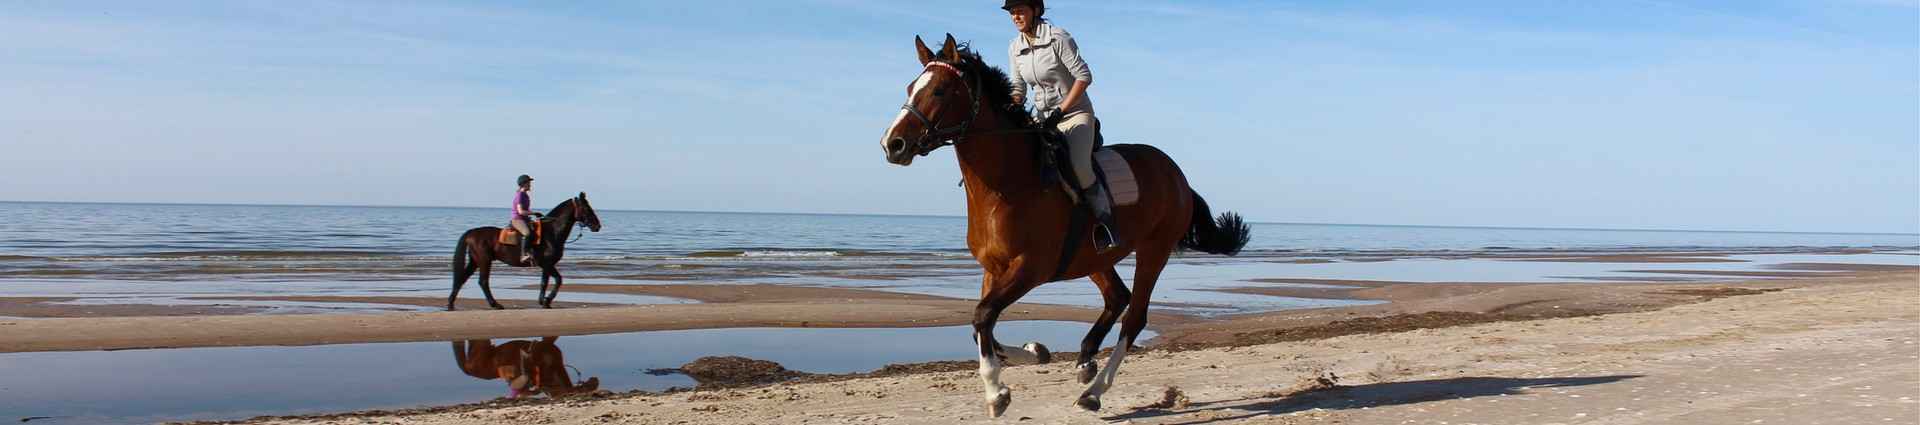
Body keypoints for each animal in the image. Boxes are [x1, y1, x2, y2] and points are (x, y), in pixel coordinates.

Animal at [449, 192, 599, 309]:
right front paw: (547, 301)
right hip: (484, 261)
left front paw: (543, 301)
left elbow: (545, 282)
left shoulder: (547, 265)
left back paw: (450, 304)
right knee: (483, 282)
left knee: (462, 279)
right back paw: (495, 304)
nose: (598, 226)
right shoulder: (546, 264)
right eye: (586, 208)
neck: (551, 232)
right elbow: (557, 280)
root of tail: (472, 232)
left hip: (475, 261)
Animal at [879, 34, 1251, 417]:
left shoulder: (1030, 268)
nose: (893, 144)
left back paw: (1094, 391)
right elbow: (982, 325)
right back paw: (1085, 360)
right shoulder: (993, 269)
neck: (1006, 186)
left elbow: (982, 316)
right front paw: (1034, 353)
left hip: (1154, 250)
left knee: (1134, 317)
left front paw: (997, 394)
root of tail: (1176, 174)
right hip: (1094, 257)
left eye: (939, 91)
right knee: (1118, 297)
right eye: (910, 87)